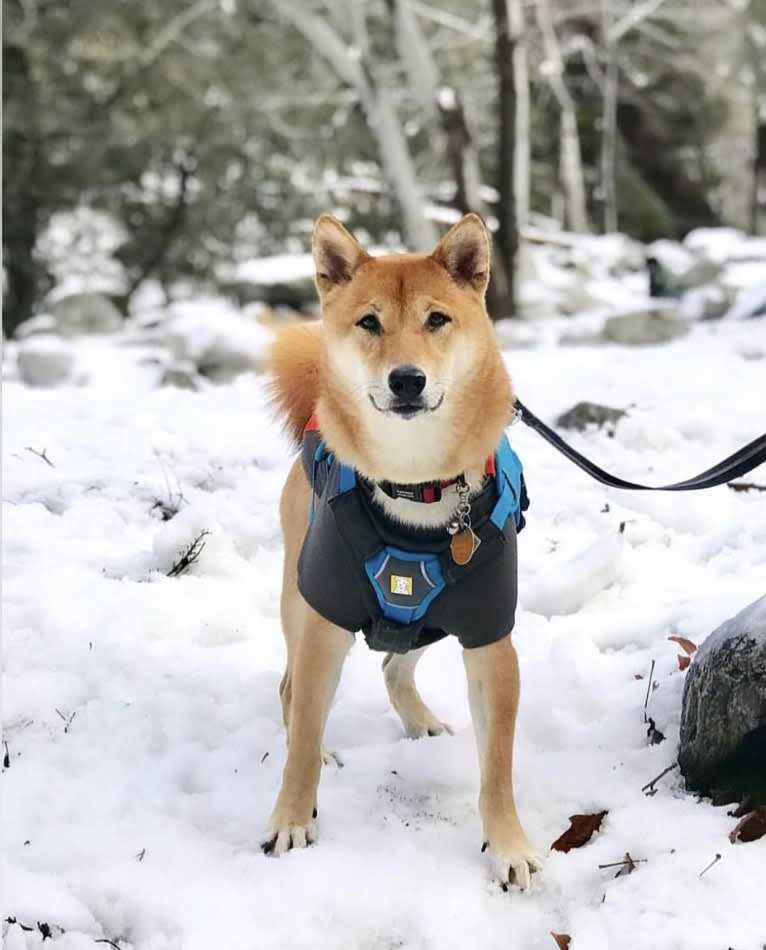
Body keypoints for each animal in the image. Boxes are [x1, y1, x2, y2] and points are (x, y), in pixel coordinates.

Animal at [268, 212, 544, 888]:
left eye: (436, 319)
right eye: (369, 323)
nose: (407, 379)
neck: (416, 481)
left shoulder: (489, 636)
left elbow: (497, 767)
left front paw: (508, 846)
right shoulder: (325, 623)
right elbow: (302, 741)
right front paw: (291, 818)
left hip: (433, 619)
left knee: (395, 664)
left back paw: (420, 720)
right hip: (300, 602)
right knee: (291, 693)